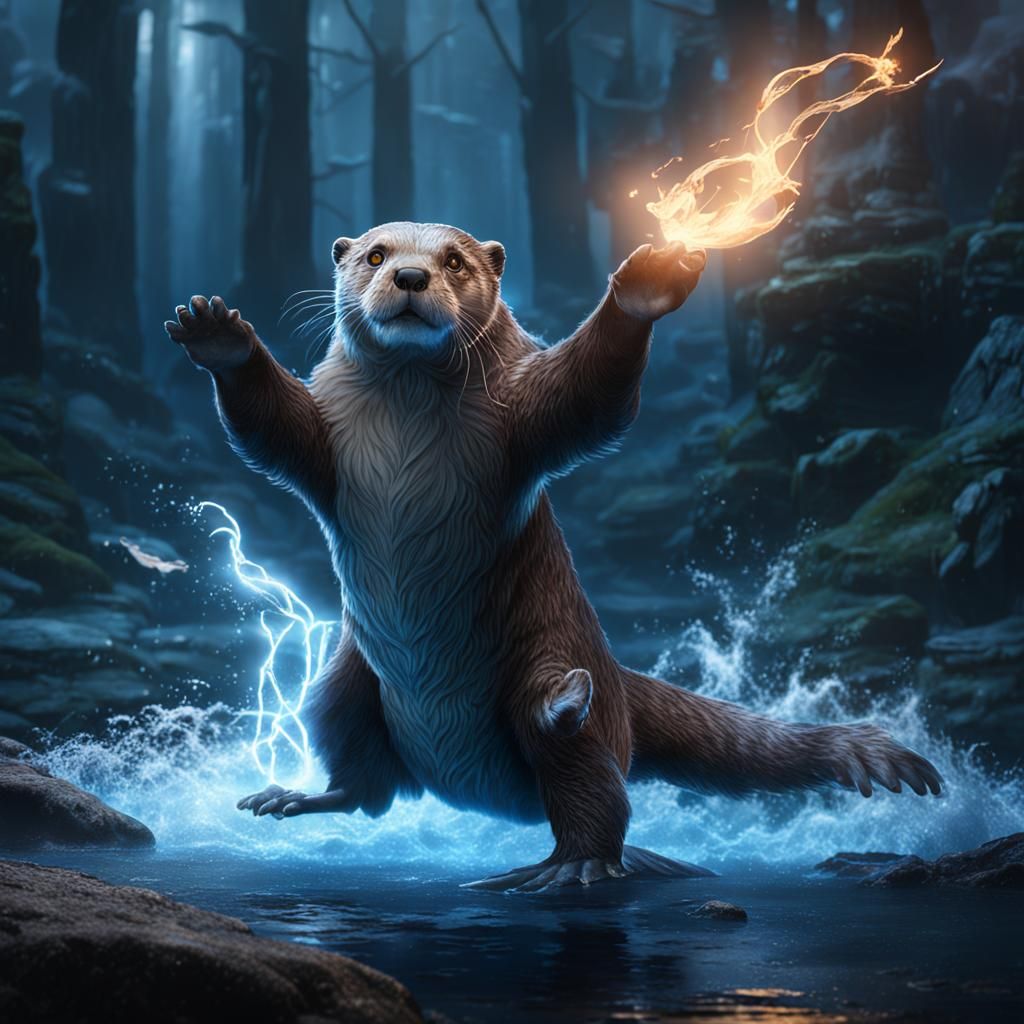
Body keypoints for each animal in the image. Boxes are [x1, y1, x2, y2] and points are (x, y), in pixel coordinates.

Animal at [166, 222, 941, 892]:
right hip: (344, 680)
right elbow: (276, 429)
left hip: (550, 651)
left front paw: (645, 286)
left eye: (454, 260)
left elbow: (586, 398)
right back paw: (294, 798)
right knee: (366, 785)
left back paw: (569, 833)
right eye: (375, 254)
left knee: (592, 787)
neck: (407, 429)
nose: (411, 276)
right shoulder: (329, 440)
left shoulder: (518, 419)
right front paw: (222, 338)